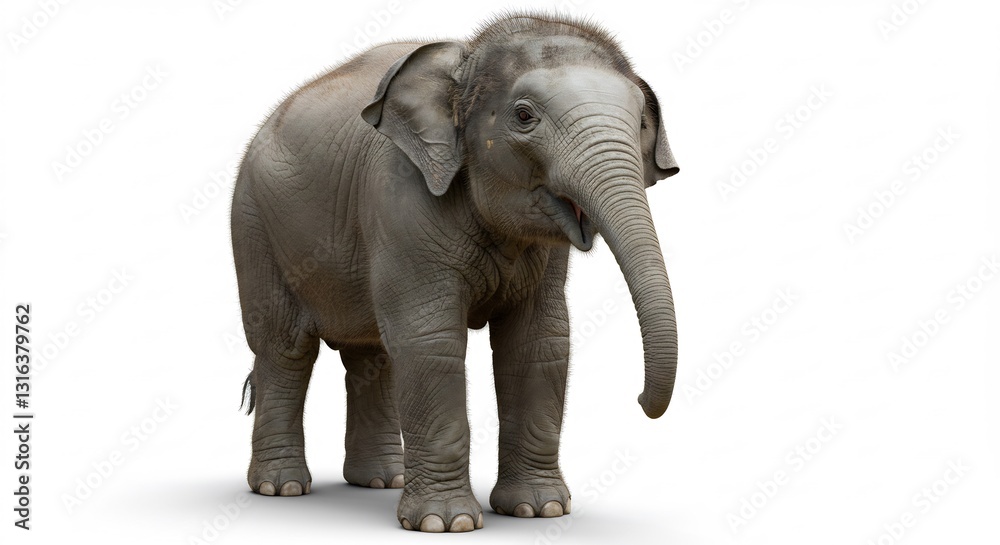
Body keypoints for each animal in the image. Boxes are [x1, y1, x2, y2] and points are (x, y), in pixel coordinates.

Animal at [231, 12, 680, 533]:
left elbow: (539, 341)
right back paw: (280, 488)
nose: (640, 401)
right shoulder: (400, 195)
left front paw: (539, 510)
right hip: (255, 227)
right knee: (285, 349)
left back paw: (382, 481)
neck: (466, 59)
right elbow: (430, 340)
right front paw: (447, 523)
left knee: (370, 354)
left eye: (641, 121)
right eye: (523, 116)